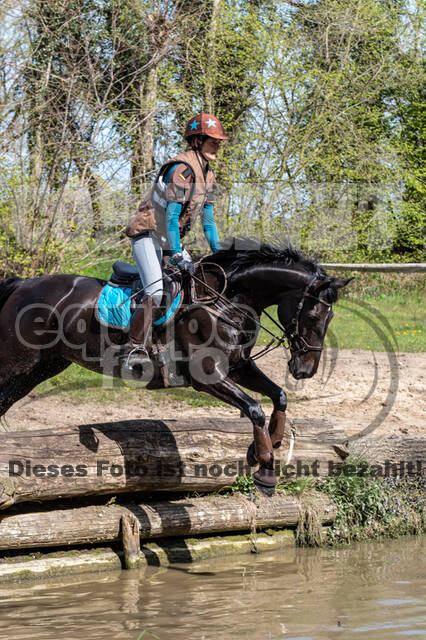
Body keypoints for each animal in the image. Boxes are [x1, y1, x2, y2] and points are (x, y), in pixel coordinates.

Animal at [0, 242, 350, 492]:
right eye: (313, 316)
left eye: (332, 317)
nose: (305, 370)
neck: (226, 301)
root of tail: (23, 285)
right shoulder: (207, 375)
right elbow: (254, 408)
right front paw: (265, 467)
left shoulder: (239, 366)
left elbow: (278, 397)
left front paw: (268, 444)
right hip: (18, 361)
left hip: (43, 366)